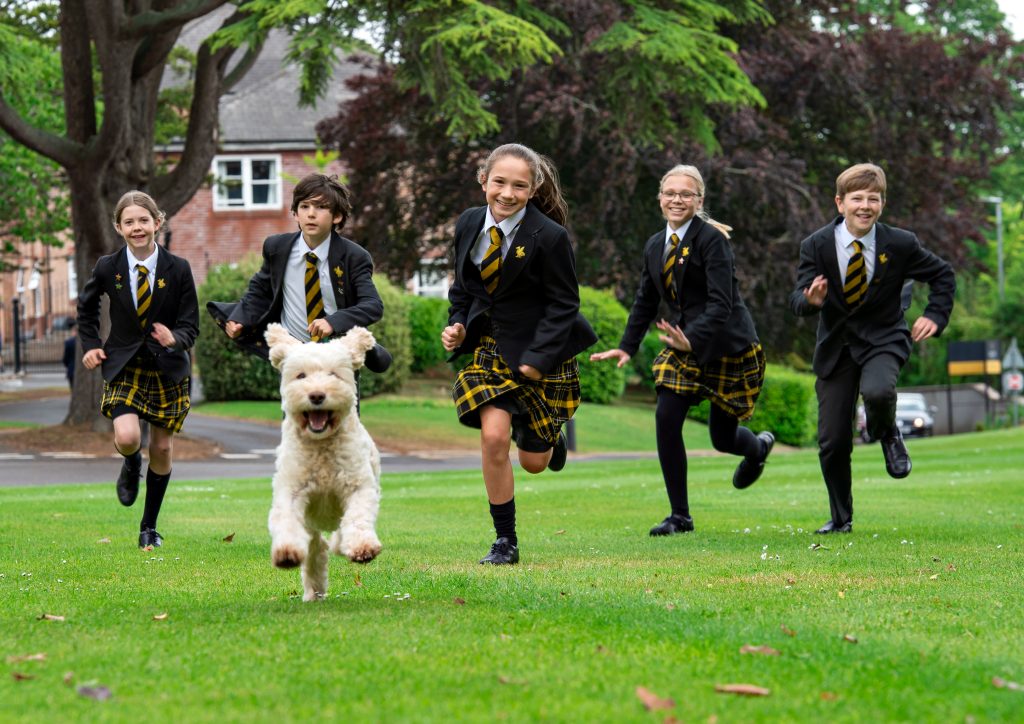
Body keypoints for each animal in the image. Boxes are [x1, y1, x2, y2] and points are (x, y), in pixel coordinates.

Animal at [266, 323, 382, 602]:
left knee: (337, 537)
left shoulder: (359, 485)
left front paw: (362, 546)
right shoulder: (292, 488)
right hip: (311, 527)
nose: (317, 395)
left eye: (334, 374)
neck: (321, 445)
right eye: (301, 376)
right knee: (315, 552)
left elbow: (358, 515)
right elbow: (286, 517)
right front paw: (286, 551)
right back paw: (313, 591)